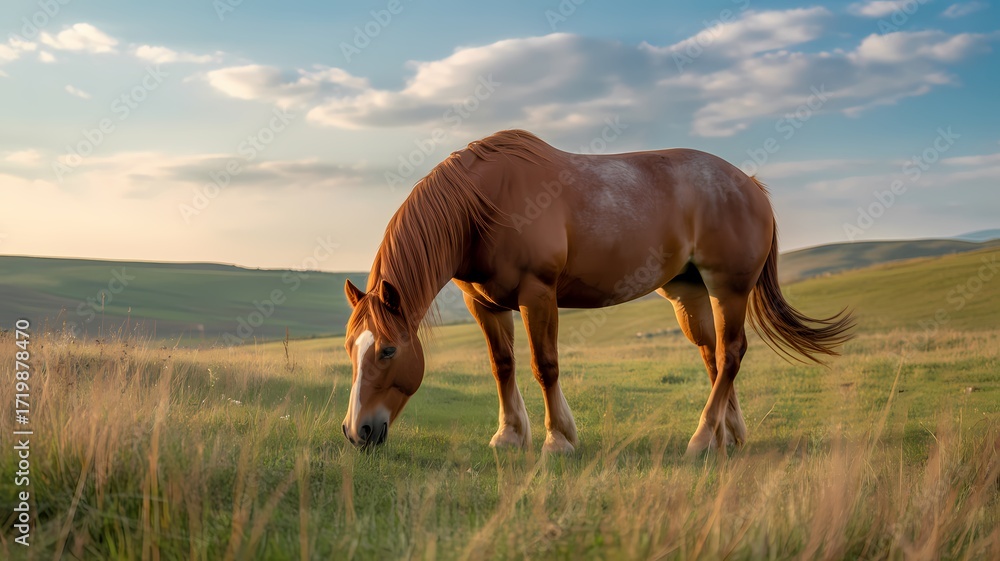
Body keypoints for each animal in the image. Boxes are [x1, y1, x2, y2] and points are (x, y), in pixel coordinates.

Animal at [341, 129, 853, 455]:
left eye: (387, 351)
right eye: (351, 349)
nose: (355, 431)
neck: (484, 205)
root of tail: (751, 186)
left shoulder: (537, 294)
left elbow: (544, 365)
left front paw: (558, 439)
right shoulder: (483, 304)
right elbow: (502, 365)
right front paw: (510, 436)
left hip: (729, 289)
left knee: (730, 354)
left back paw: (703, 439)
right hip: (687, 293)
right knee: (713, 356)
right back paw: (731, 434)